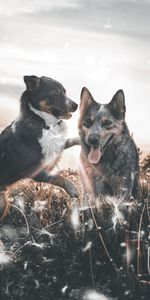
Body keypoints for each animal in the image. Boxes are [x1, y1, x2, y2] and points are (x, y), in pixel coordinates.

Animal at [0, 76, 79, 218]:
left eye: (65, 91)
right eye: (57, 92)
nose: (76, 105)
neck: (42, 123)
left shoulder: (55, 151)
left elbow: (70, 141)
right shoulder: (36, 170)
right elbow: (59, 177)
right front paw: (72, 188)